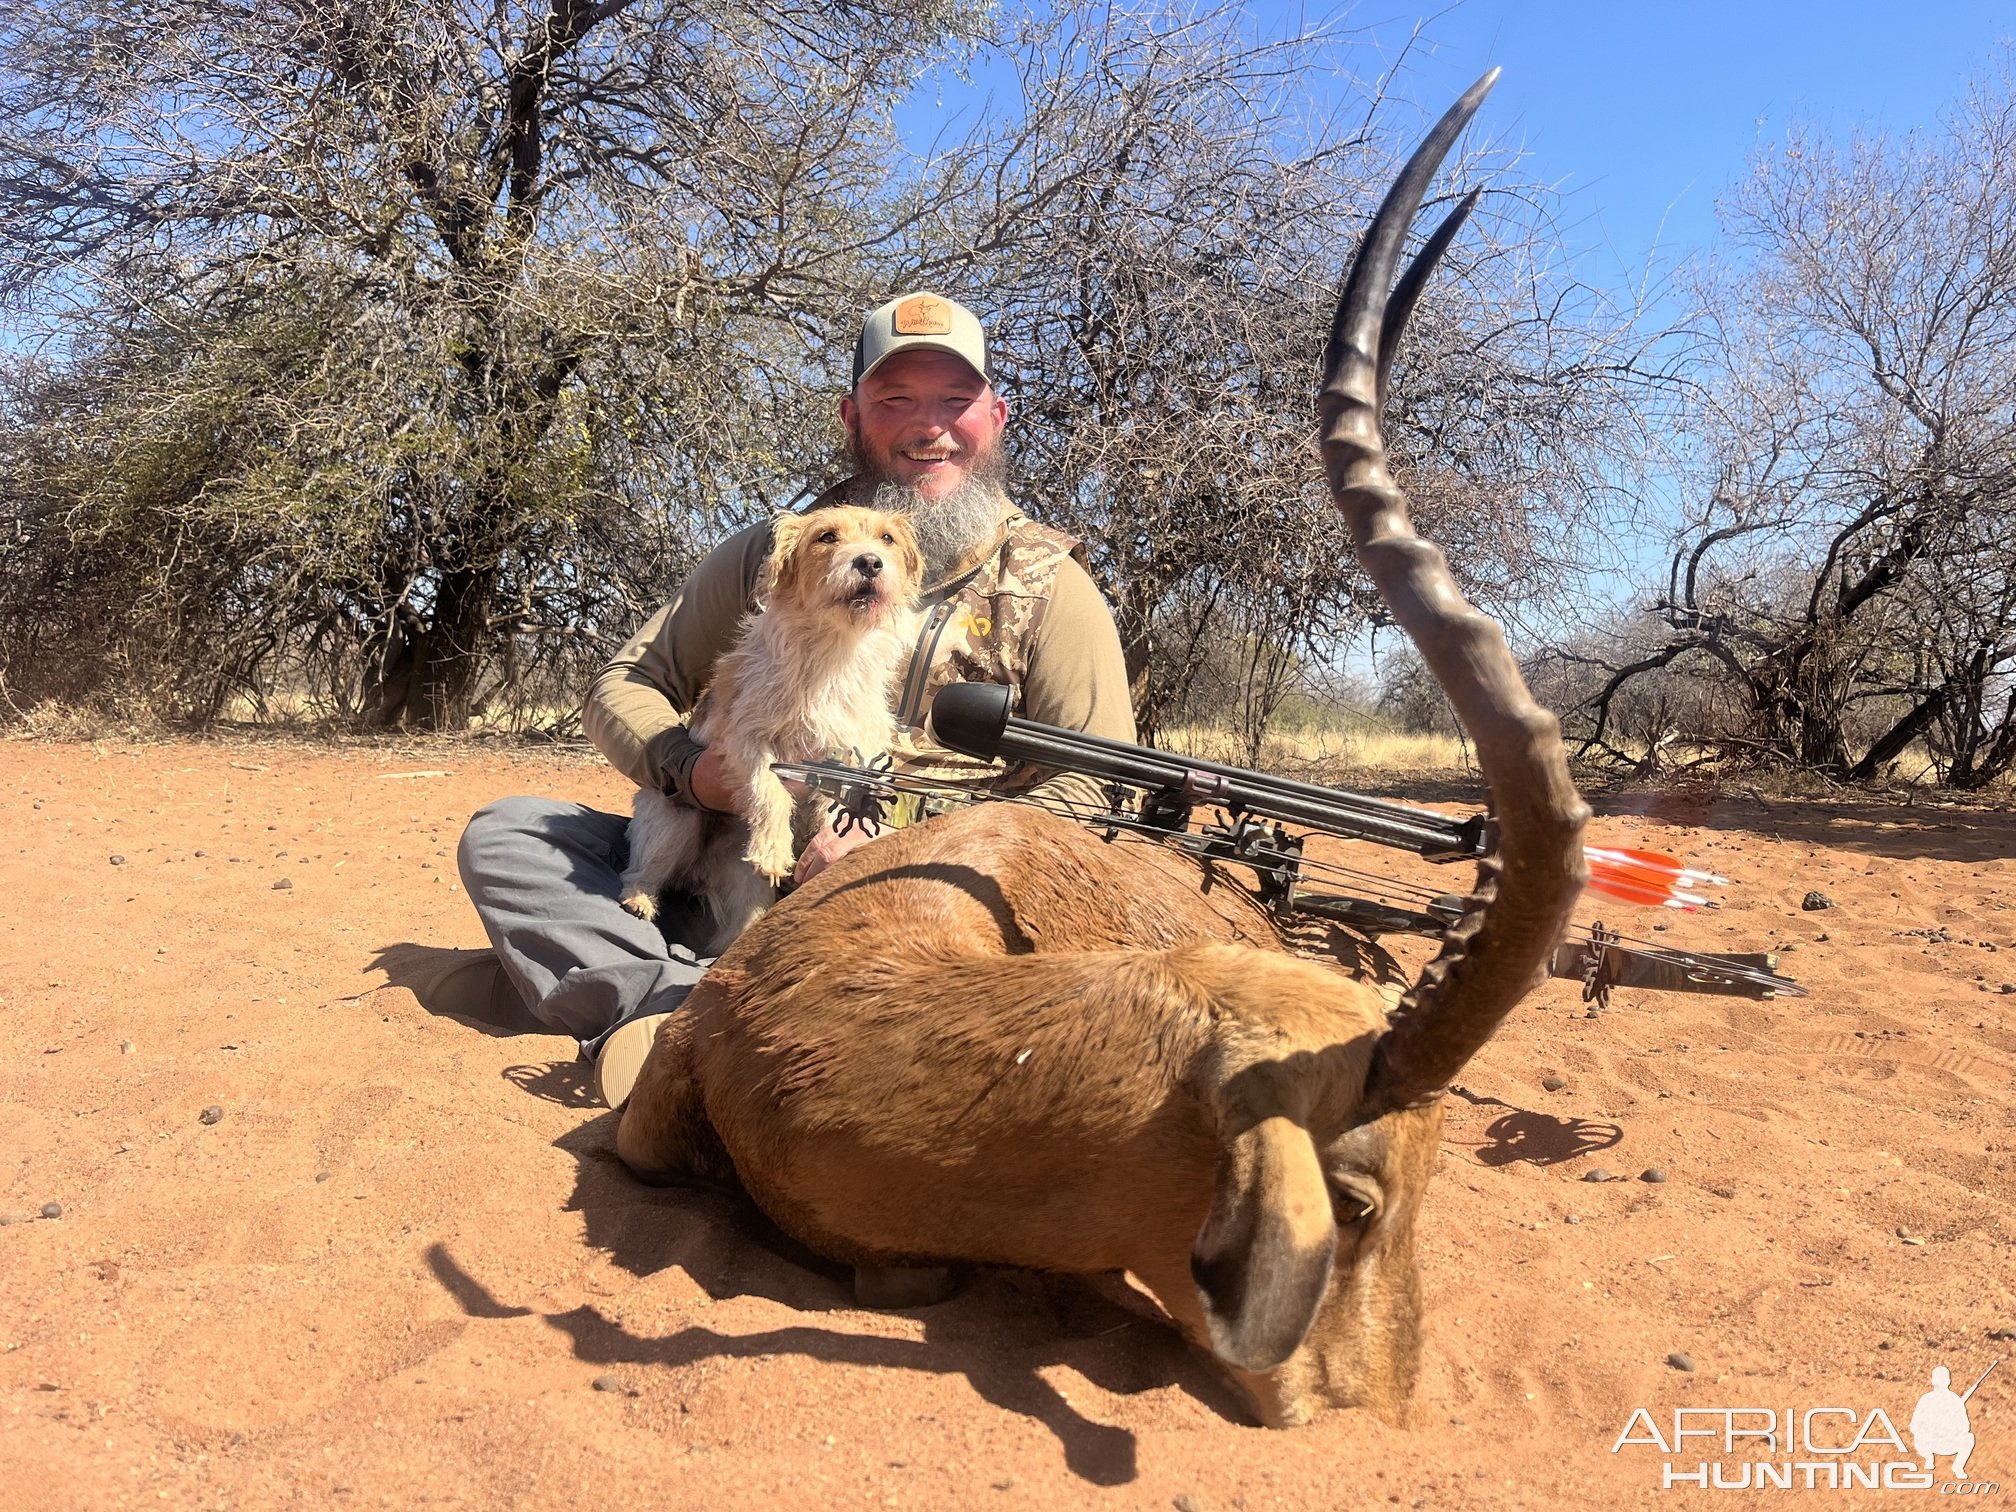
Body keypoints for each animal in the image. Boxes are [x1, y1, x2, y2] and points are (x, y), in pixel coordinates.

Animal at [616, 510, 923, 959]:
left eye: (887, 539)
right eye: (826, 537)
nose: (869, 562)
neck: (834, 650)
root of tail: (698, 873)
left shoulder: (850, 758)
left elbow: (836, 808)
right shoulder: (746, 741)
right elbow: (769, 790)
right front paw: (775, 847)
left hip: (745, 889)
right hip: (675, 822)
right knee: (641, 870)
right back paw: (639, 899)